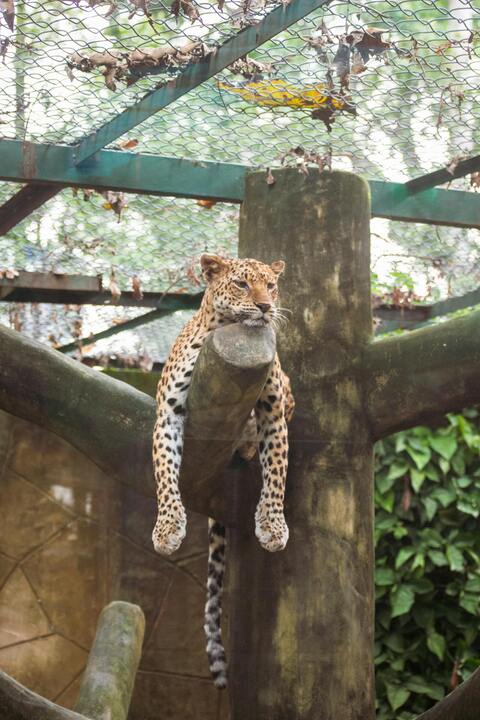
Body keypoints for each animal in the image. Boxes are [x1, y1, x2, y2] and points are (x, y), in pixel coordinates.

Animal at [152, 254, 294, 688]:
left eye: (271, 285)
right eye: (243, 284)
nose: (265, 307)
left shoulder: (274, 408)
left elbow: (277, 471)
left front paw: (272, 527)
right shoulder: (168, 412)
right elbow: (164, 471)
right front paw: (167, 529)